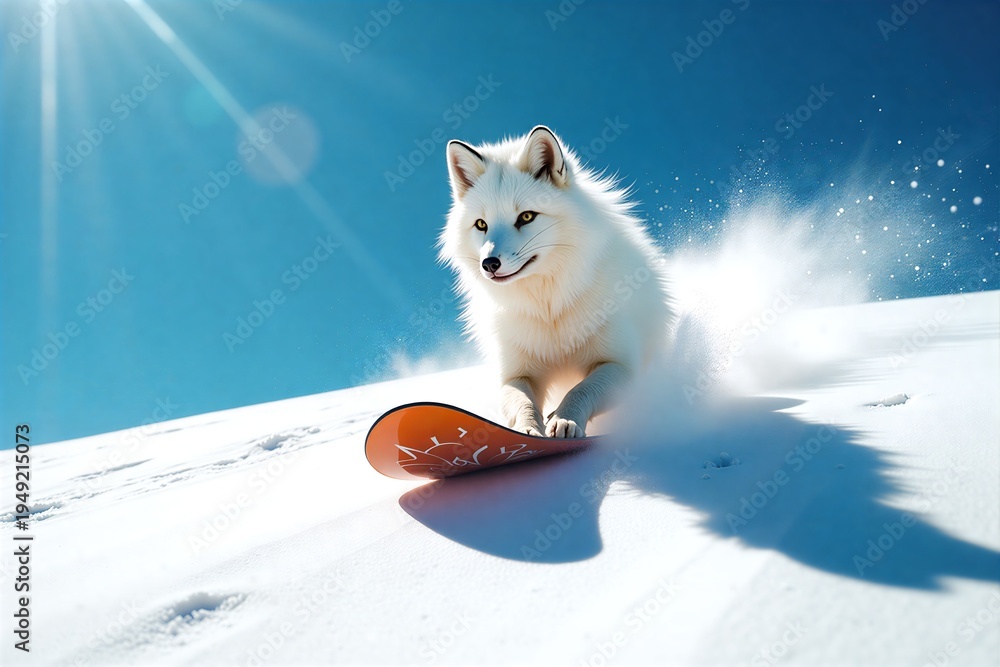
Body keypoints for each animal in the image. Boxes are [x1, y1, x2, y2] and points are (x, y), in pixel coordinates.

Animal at [439, 126, 673, 438]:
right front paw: (527, 431)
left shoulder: (620, 363)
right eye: (481, 225)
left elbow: (580, 390)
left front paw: (565, 420)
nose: (489, 264)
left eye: (526, 217)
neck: (548, 308)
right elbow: (523, 404)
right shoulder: (515, 374)